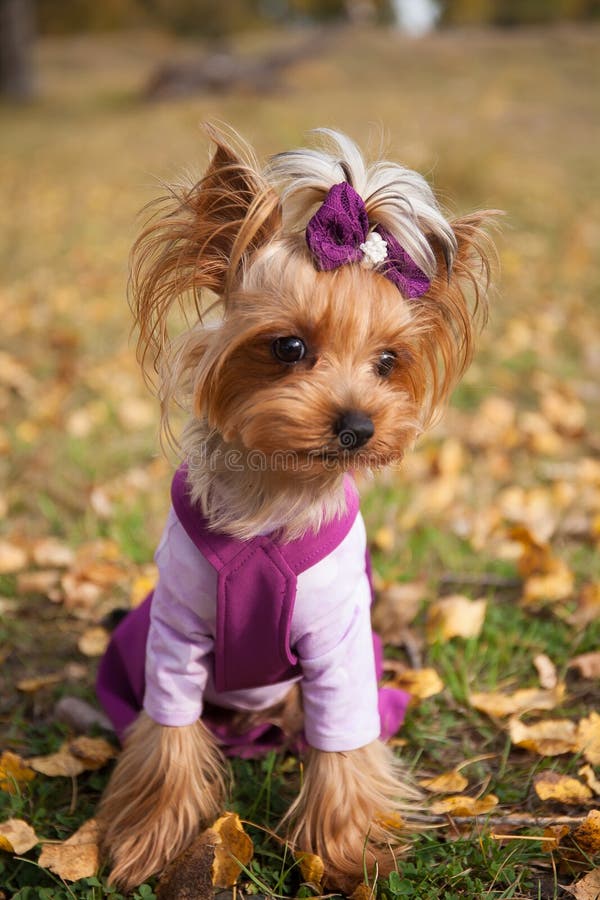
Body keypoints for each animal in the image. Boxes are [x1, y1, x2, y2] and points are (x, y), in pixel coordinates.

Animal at [96, 123, 492, 888]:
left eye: (389, 362)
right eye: (289, 346)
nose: (359, 426)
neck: (273, 499)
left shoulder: (340, 645)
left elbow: (344, 745)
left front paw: (344, 853)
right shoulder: (174, 634)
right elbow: (167, 735)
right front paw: (147, 839)